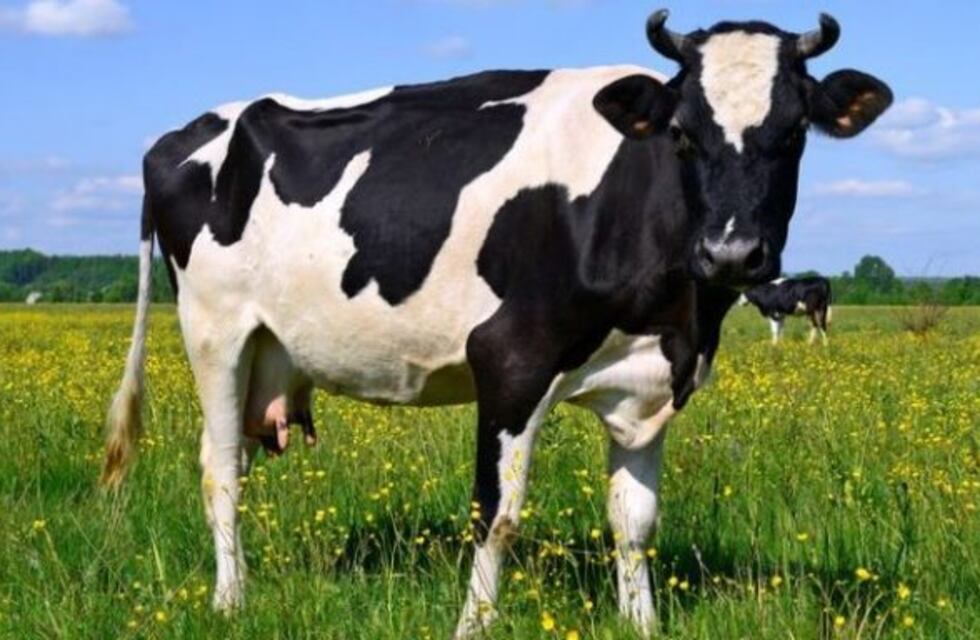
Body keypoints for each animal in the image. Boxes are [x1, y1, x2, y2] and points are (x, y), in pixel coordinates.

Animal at [100, 9, 890, 637]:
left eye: (794, 132)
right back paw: (230, 600)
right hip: (216, 332)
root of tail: (189, 131)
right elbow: (496, 513)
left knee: (234, 460)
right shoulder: (510, 362)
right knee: (219, 470)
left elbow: (634, 520)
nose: (731, 251)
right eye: (683, 134)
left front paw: (642, 623)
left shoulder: (646, 382)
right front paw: (474, 624)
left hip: (269, 346)